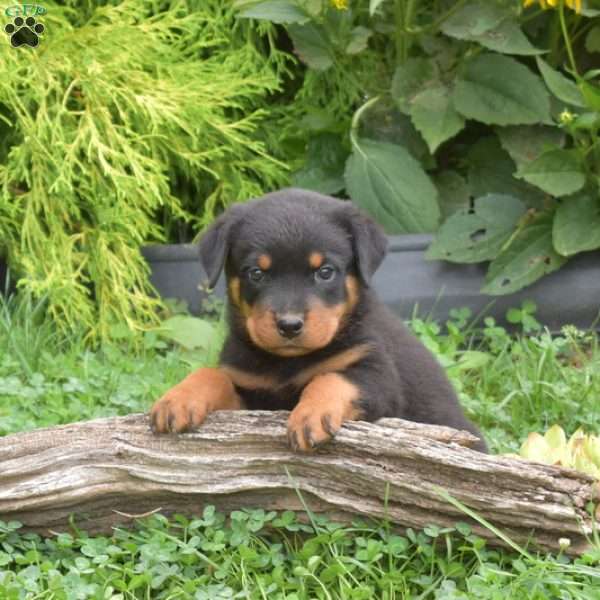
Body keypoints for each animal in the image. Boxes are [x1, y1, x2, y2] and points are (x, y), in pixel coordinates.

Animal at [150, 190, 488, 452]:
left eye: (325, 271)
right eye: (256, 273)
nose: (289, 325)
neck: (288, 364)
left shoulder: (378, 377)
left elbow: (331, 378)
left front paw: (311, 416)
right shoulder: (251, 394)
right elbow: (212, 374)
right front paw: (177, 399)